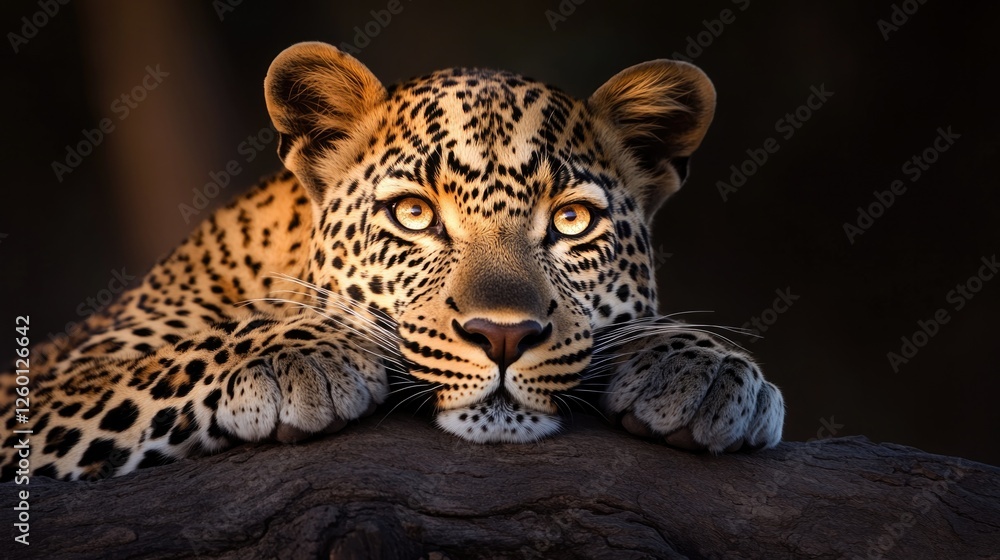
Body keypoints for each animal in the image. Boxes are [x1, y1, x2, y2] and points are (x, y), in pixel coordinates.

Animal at [0, 42, 783, 482]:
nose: (503, 336)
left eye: (571, 221)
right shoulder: (45, 384)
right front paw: (297, 355)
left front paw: (707, 369)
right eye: (413, 214)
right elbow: (165, 358)